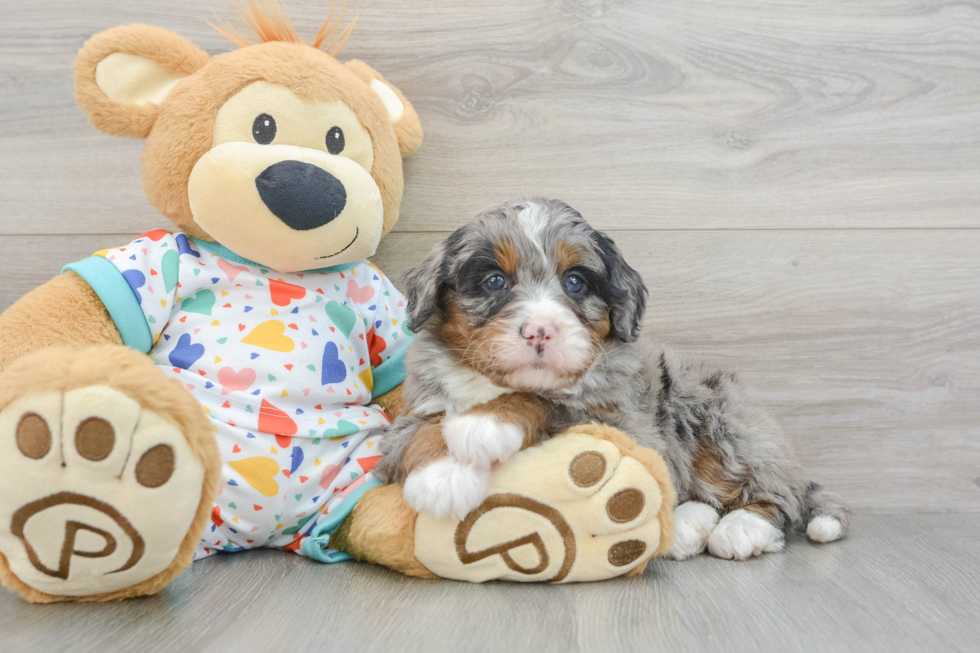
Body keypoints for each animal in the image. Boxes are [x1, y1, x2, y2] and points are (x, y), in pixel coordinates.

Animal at [376, 197, 848, 560]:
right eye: (494, 280)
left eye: (575, 282)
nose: (540, 330)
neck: (501, 383)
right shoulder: (411, 413)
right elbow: (421, 434)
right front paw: (441, 478)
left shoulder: (624, 422)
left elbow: (552, 401)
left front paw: (484, 424)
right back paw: (688, 525)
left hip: (715, 417)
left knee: (778, 496)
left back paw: (741, 528)